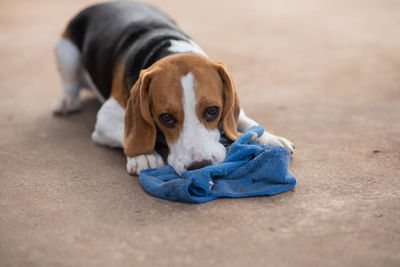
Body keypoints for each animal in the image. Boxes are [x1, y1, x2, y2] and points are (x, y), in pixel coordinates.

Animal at [54, 1, 294, 176]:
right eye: (166, 118)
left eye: (213, 111)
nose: (199, 166)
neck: (169, 49)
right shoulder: (105, 117)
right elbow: (125, 130)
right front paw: (142, 155)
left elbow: (245, 121)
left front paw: (268, 138)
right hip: (67, 52)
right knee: (69, 84)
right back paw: (66, 101)